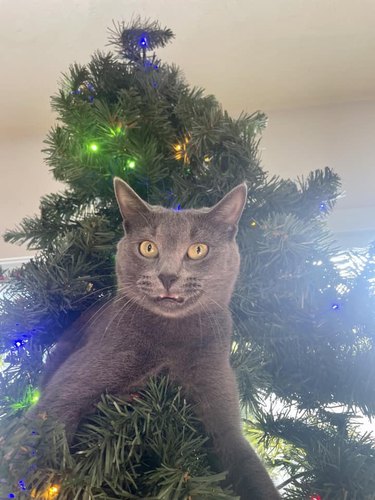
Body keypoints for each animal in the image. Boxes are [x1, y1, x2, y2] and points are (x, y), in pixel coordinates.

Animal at [30, 180, 280, 500]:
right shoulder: (71, 386)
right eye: (148, 247)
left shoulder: (220, 408)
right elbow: (45, 436)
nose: (168, 276)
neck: (171, 339)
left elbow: (247, 465)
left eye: (198, 250)